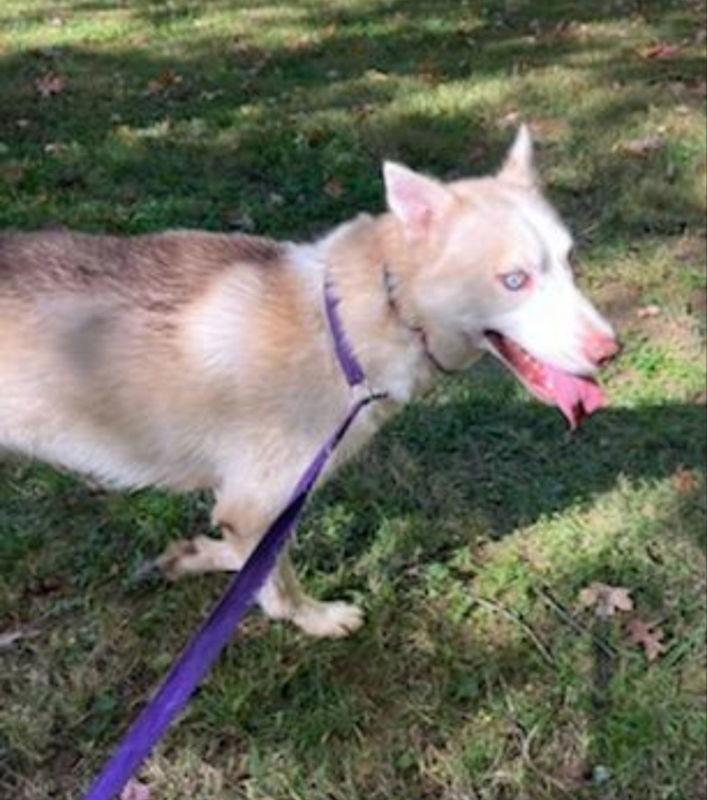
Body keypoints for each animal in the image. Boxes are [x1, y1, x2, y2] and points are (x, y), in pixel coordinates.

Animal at [0, 126, 616, 636]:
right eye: (514, 280)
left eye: (569, 262)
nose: (611, 350)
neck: (346, 326)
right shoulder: (260, 503)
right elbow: (273, 576)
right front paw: (314, 620)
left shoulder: (249, 506)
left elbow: (243, 558)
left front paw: (196, 556)